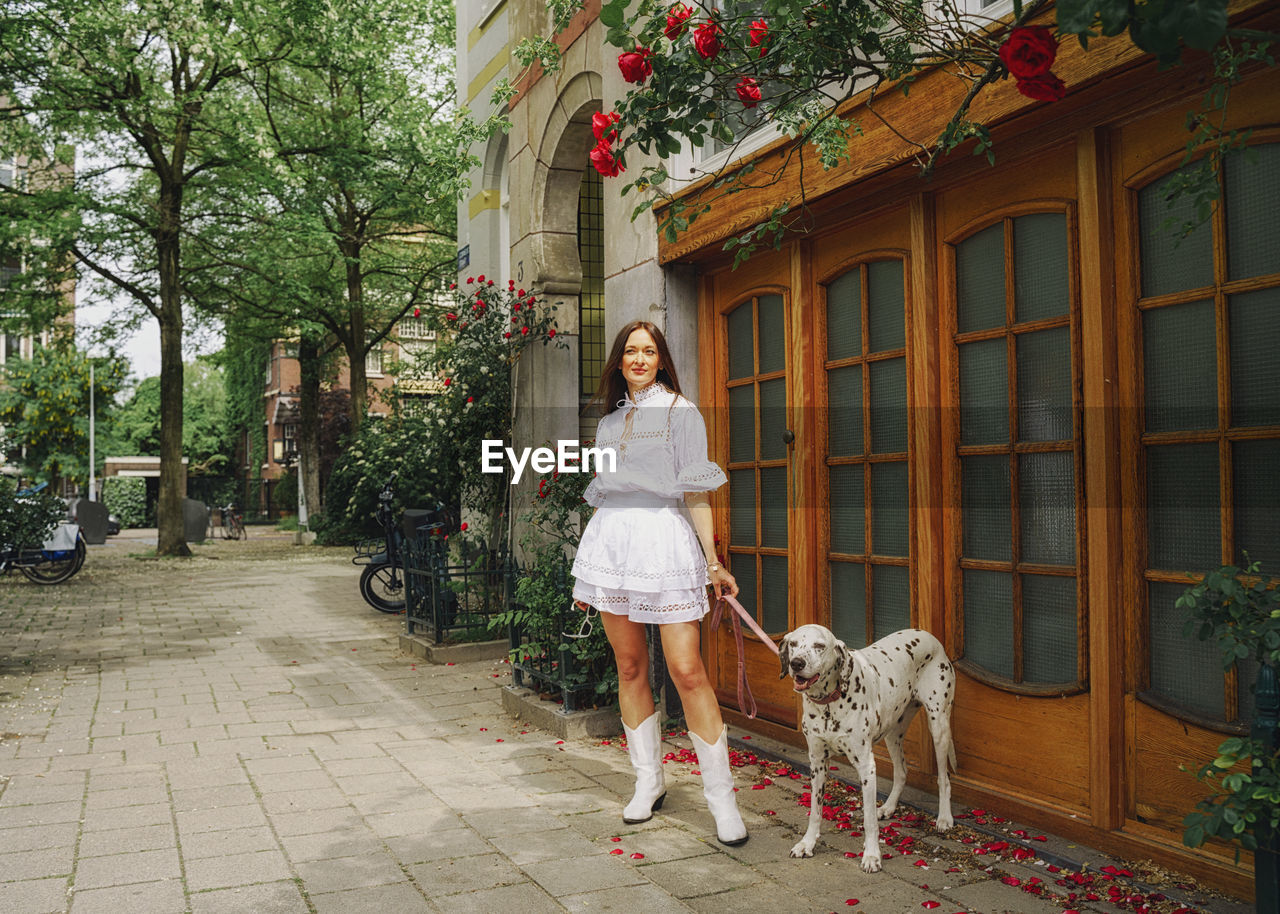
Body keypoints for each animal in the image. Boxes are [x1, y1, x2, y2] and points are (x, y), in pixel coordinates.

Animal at [773, 619, 957, 870]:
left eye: (819, 646)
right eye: (792, 644)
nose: (796, 663)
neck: (830, 704)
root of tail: (928, 635)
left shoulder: (866, 766)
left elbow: (868, 819)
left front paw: (871, 855)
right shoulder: (817, 764)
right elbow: (815, 810)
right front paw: (807, 843)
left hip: (939, 726)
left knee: (943, 778)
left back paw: (944, 818)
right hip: (893, 733)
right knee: (902, 771)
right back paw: (888, 807)